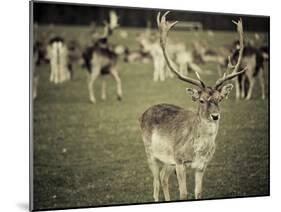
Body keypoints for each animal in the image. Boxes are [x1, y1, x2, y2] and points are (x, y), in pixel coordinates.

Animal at [139, 12, 244, 202]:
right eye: (201, 100)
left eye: (219, 99)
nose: (215, 116)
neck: (198, 151)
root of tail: (143, 113)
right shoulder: (180, 161)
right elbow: (183, 194)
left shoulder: (202, 165)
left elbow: (198, 193)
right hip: (151, 152)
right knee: (156, 183)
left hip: (168, 159)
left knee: (164, 178)